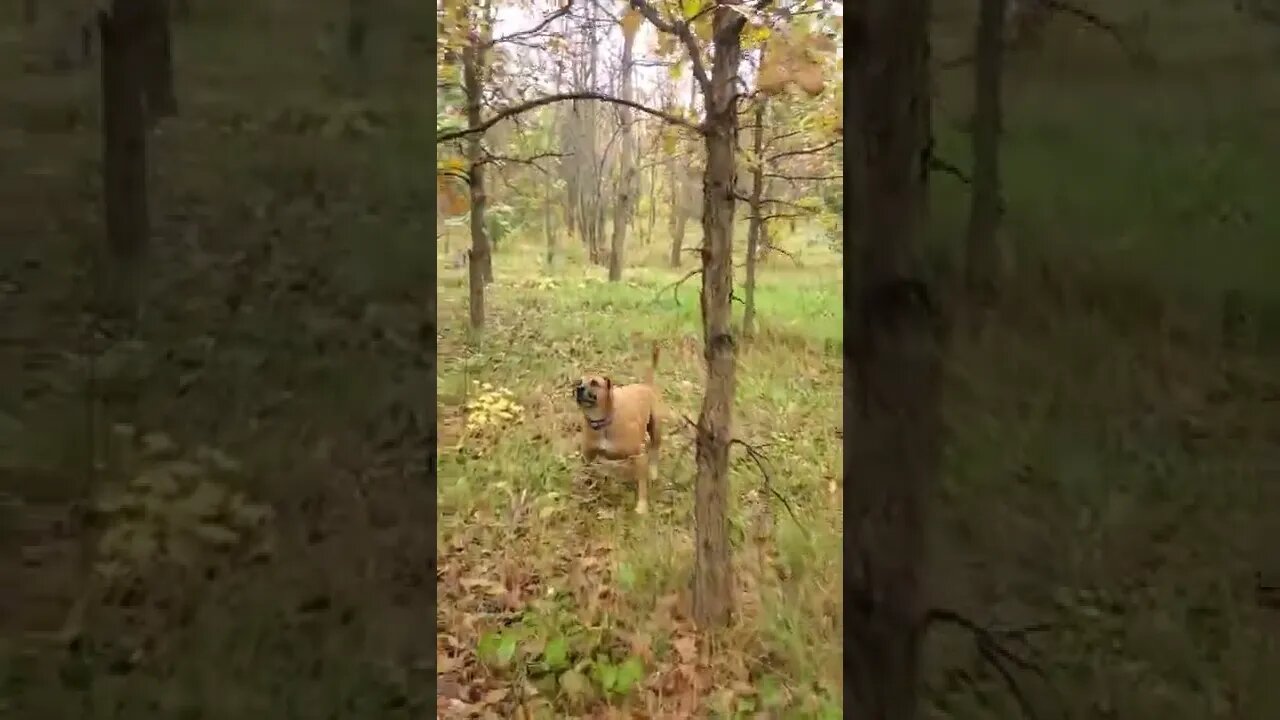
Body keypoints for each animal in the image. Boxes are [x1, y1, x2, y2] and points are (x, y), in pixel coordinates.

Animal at [576, 345, 665, 512]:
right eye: (579, 382)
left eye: (594, 383)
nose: (579, 388)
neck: (603, 423)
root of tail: (646, 385)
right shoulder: (588, 455)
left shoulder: (639, 455)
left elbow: (642, 486)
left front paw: (641, 507)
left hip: (656, 429)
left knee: (655, 449)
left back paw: (653, 472)